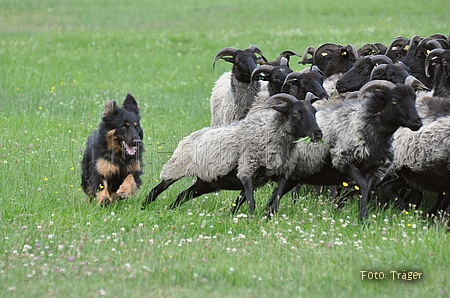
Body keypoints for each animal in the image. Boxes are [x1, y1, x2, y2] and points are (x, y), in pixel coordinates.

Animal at [142, 93, 322, 217]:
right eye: (296, 113)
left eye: (314, 111)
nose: (318, 133)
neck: (270, 132)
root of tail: (191, 136)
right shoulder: (247, 170)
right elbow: (250, 201)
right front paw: (251, 220)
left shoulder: (281, 173)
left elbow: (272, 200)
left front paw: (266, 217)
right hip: (176, 167)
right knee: (157, 190)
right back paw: (143, 206)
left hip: (206, 182)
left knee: (184, 194)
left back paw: (171, 210)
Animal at [264, 80, 422, 220]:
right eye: (394, 100)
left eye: (414, 99)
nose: (418, 122)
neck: (364, 124)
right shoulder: (344, 160)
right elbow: (362, 186)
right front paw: (363, 219)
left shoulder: (374, 168)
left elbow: (364, 188)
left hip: (297, 174)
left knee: (276, 192)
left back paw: (266, 214)